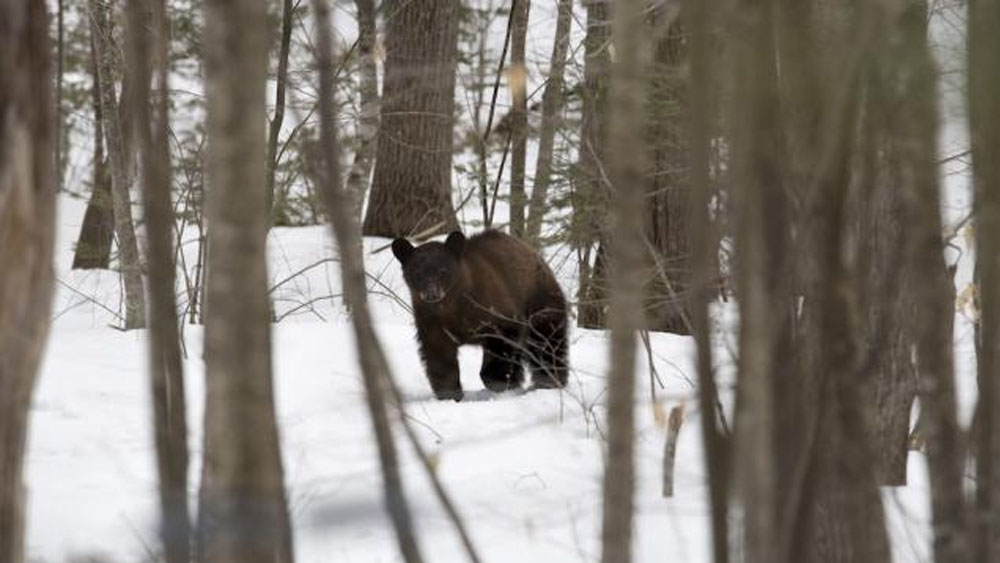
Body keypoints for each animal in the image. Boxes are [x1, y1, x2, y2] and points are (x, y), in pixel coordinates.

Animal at [391, 230, 569, 401]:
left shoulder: (494, 309)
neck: (452, 306)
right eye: (417, 272)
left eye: (443, 271)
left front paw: (500, 381)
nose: (431, 294)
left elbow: (503, 344)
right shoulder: (432, 322)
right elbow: (440, 357)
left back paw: (549, 381)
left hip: (539, 301)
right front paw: (450, 393)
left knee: (547, 342)